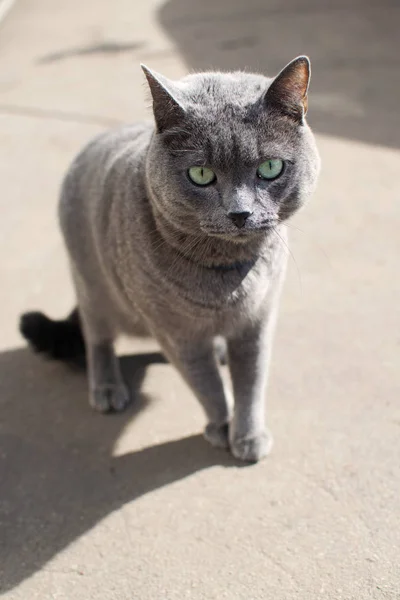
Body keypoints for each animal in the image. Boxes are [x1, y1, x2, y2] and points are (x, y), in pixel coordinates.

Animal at [20, 56, 320, 462]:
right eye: (201, 174)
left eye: (270, 168)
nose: (239, 213)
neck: (227, 274)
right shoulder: (176, 334)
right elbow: (206, 384)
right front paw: (222, 426)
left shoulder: (258, 319)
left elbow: (252, 380)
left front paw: (248, 436)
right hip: (91, 284)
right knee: (96, 336)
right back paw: (107, 388)